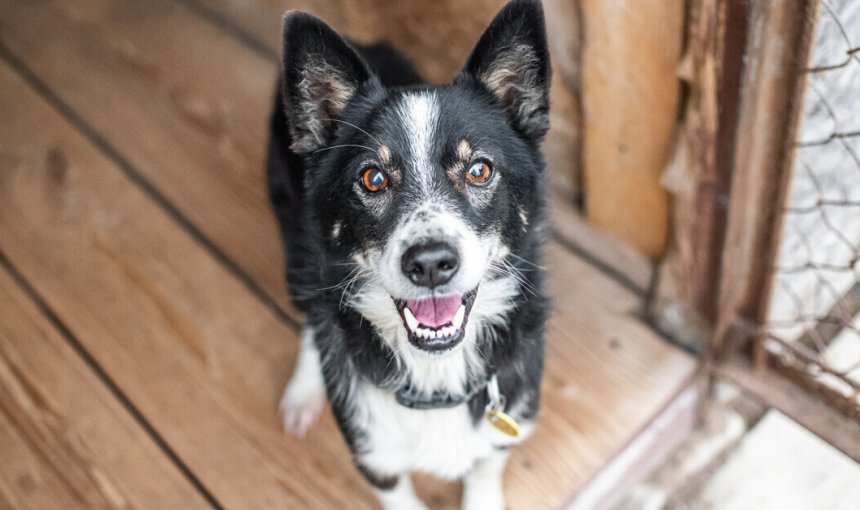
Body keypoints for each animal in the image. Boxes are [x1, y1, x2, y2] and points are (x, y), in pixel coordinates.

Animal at [268, 1, 552, 508]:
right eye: (373, 178)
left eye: (480, 170)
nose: (431, 264)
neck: (436, 373)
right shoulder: (374, 458)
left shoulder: (507, 423)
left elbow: (487, 467)